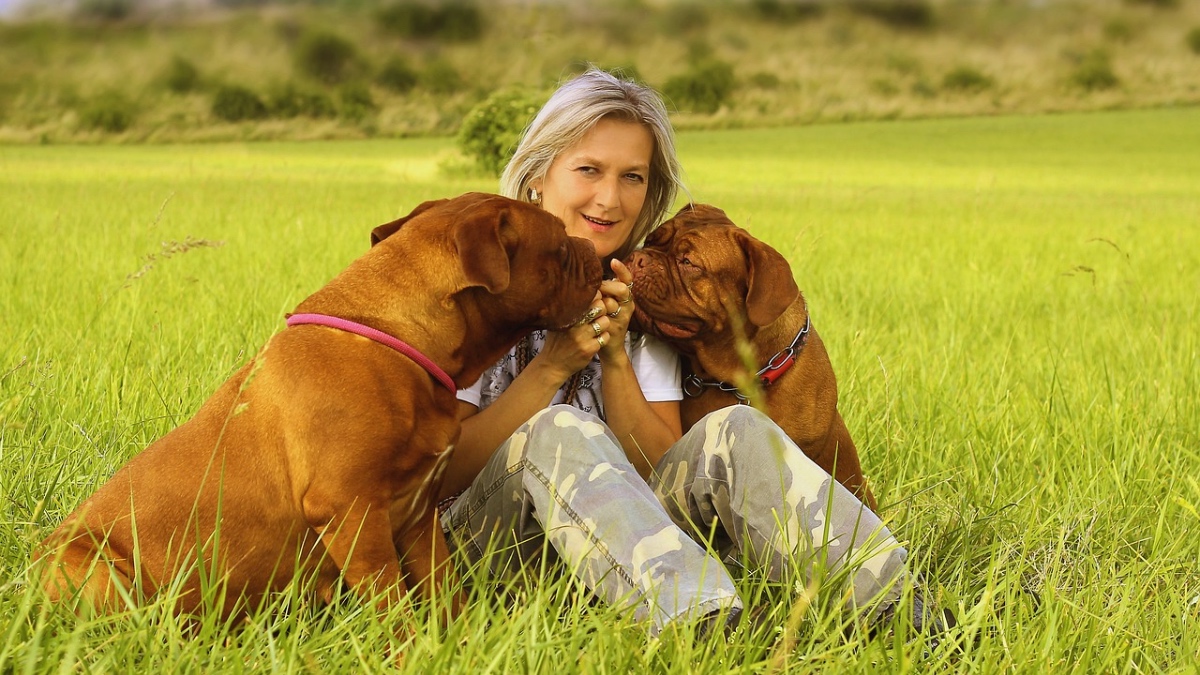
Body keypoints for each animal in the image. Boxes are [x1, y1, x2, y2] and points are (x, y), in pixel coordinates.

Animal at [38, 192, 604, 624]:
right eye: (559, 245)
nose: (596, 254)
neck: (400, 341)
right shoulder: (352, 514)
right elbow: (395, 610)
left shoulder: (417, 517)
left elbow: (445, 592)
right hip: (93, 568)